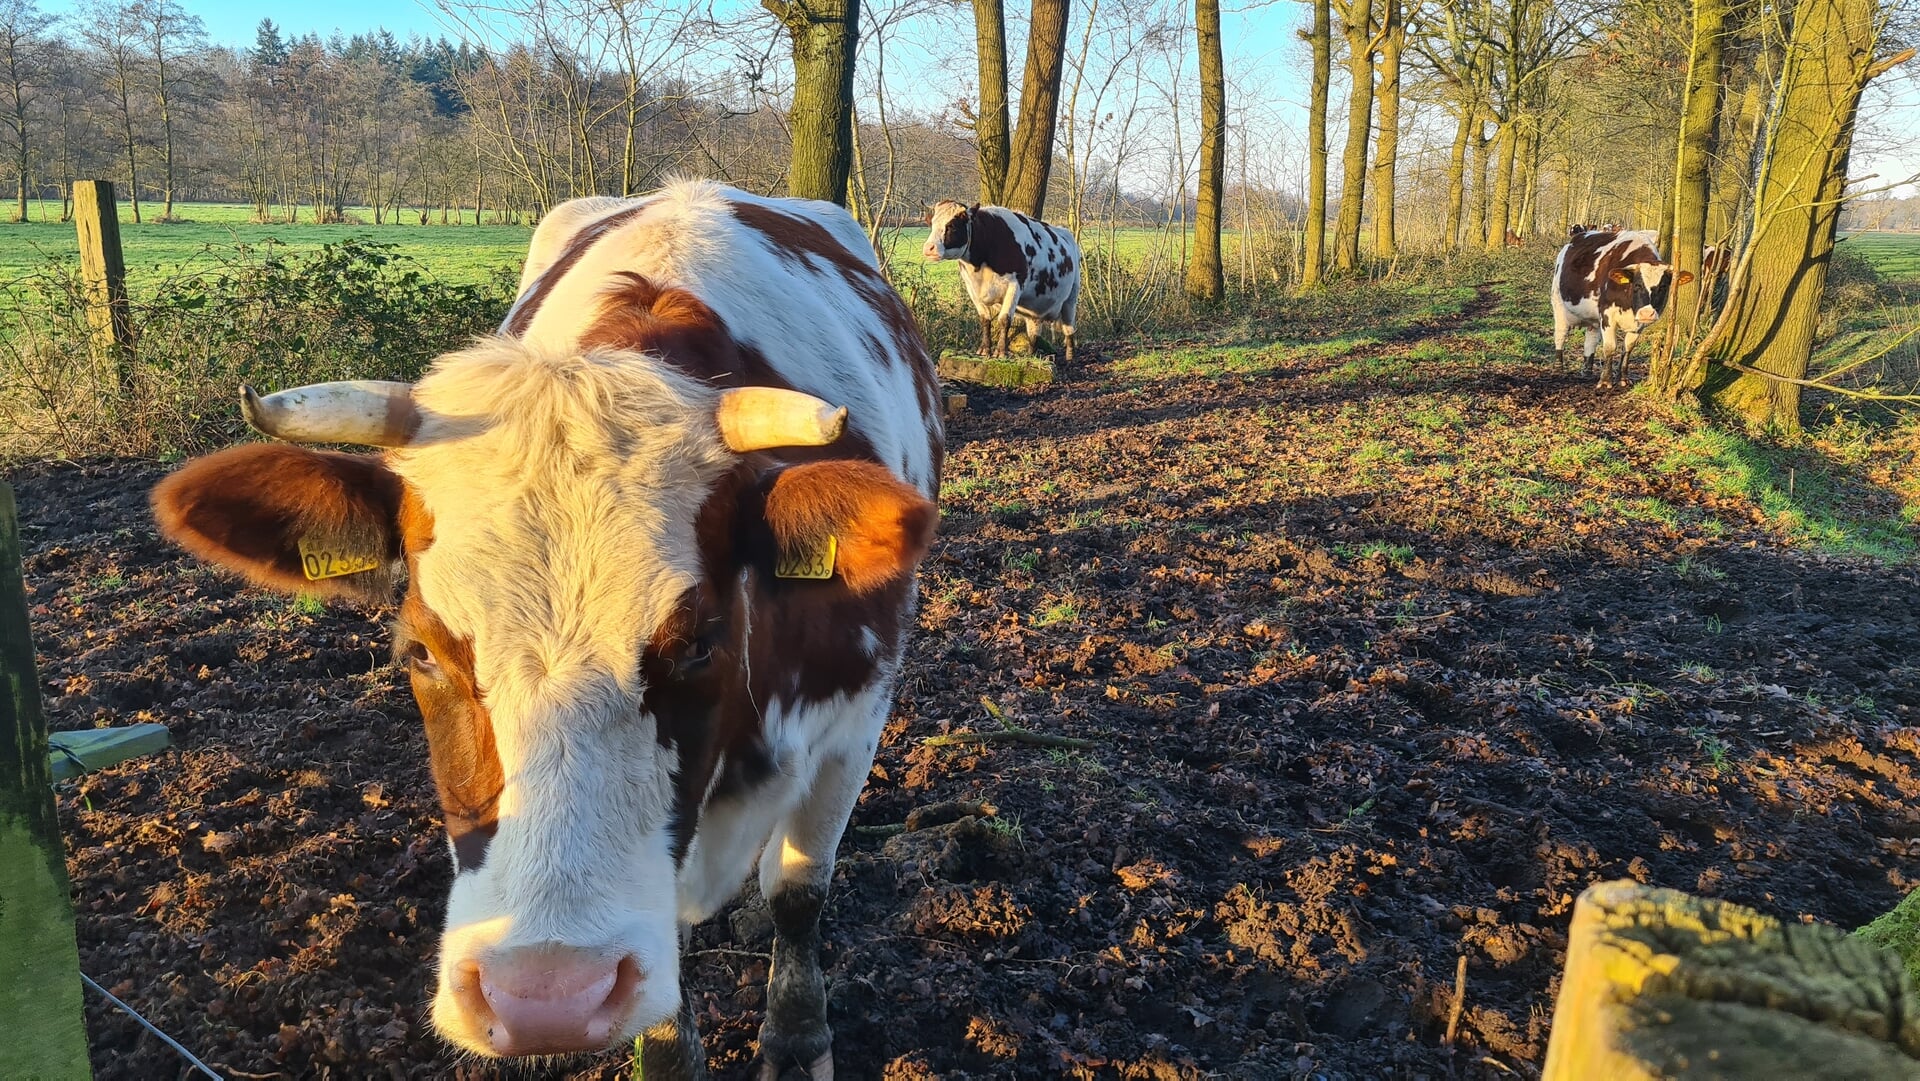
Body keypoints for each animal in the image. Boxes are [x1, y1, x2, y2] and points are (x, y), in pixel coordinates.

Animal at [145, 181, 940, 1075]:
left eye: (700, 640)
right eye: (420, 650)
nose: (546, 997)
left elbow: (800, 891)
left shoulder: (857, 719)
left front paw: (798, 1041)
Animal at [917, 205, 1082, 366]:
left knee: (1069, 329)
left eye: (952, 226)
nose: (928, 248)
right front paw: (984, 350)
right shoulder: (972, 289)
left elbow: (1004, 319)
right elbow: (984, 319)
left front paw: (1001, 352)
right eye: (931, 224)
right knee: (1034, 332)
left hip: (1071, 298)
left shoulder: (1015, 285)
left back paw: (1070, 358)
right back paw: (1031, 355)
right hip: (1035, 308)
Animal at [1551, 228, 1689, 389]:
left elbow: (1628, 348)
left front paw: (1622, 378)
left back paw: (1587, 371)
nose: (1647, 313)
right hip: (1558, 304)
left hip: (1593, 318)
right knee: (1560, 335)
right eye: (1637, 285)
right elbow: (1610, 347)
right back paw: (1558, 368)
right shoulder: (1607, 315)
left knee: (1591, 339)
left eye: (1663, 287)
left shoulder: (1638, 325)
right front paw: (1605, 381)